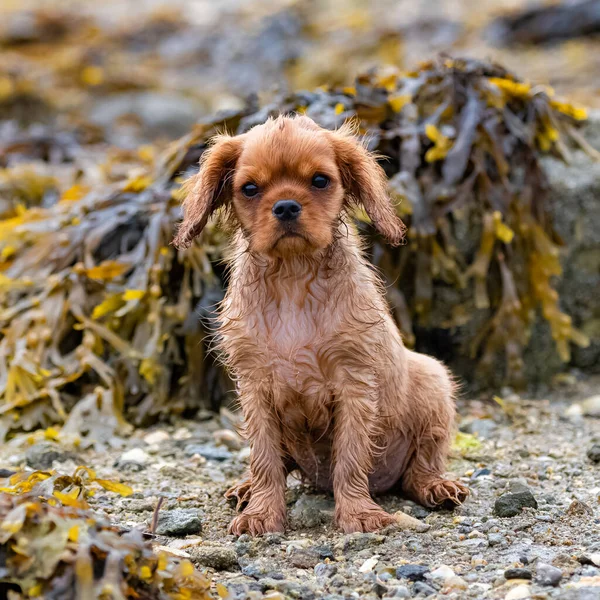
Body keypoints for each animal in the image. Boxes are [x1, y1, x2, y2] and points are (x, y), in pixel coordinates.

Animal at [173, 113, 468, 536]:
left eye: (319, 181)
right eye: (250, 189)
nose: (286, 206)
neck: (294, 274)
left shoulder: (354, 385)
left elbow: (350, 457)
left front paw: (358, 514)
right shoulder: (255, 387)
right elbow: (265, 459)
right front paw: (262, 513)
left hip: (433, 381)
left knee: (421, 466)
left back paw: (437, 486)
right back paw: (246, 489)